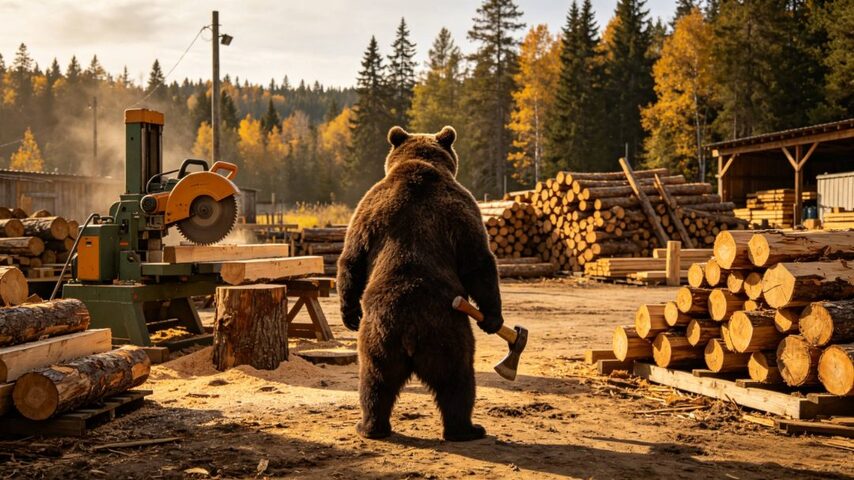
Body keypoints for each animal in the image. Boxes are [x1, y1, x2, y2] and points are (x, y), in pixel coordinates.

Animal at [337, 125, 504, 442]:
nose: (352, 318)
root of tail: (409, 329)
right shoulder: (465, 209)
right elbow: (479, 261)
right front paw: (493, 318)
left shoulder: (367, 212)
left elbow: (352, 257)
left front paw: (349, 314)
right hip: (448, 332)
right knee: (458, 379)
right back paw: (467, 429)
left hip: (379, 340)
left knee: (375, 382)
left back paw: (371, 426)